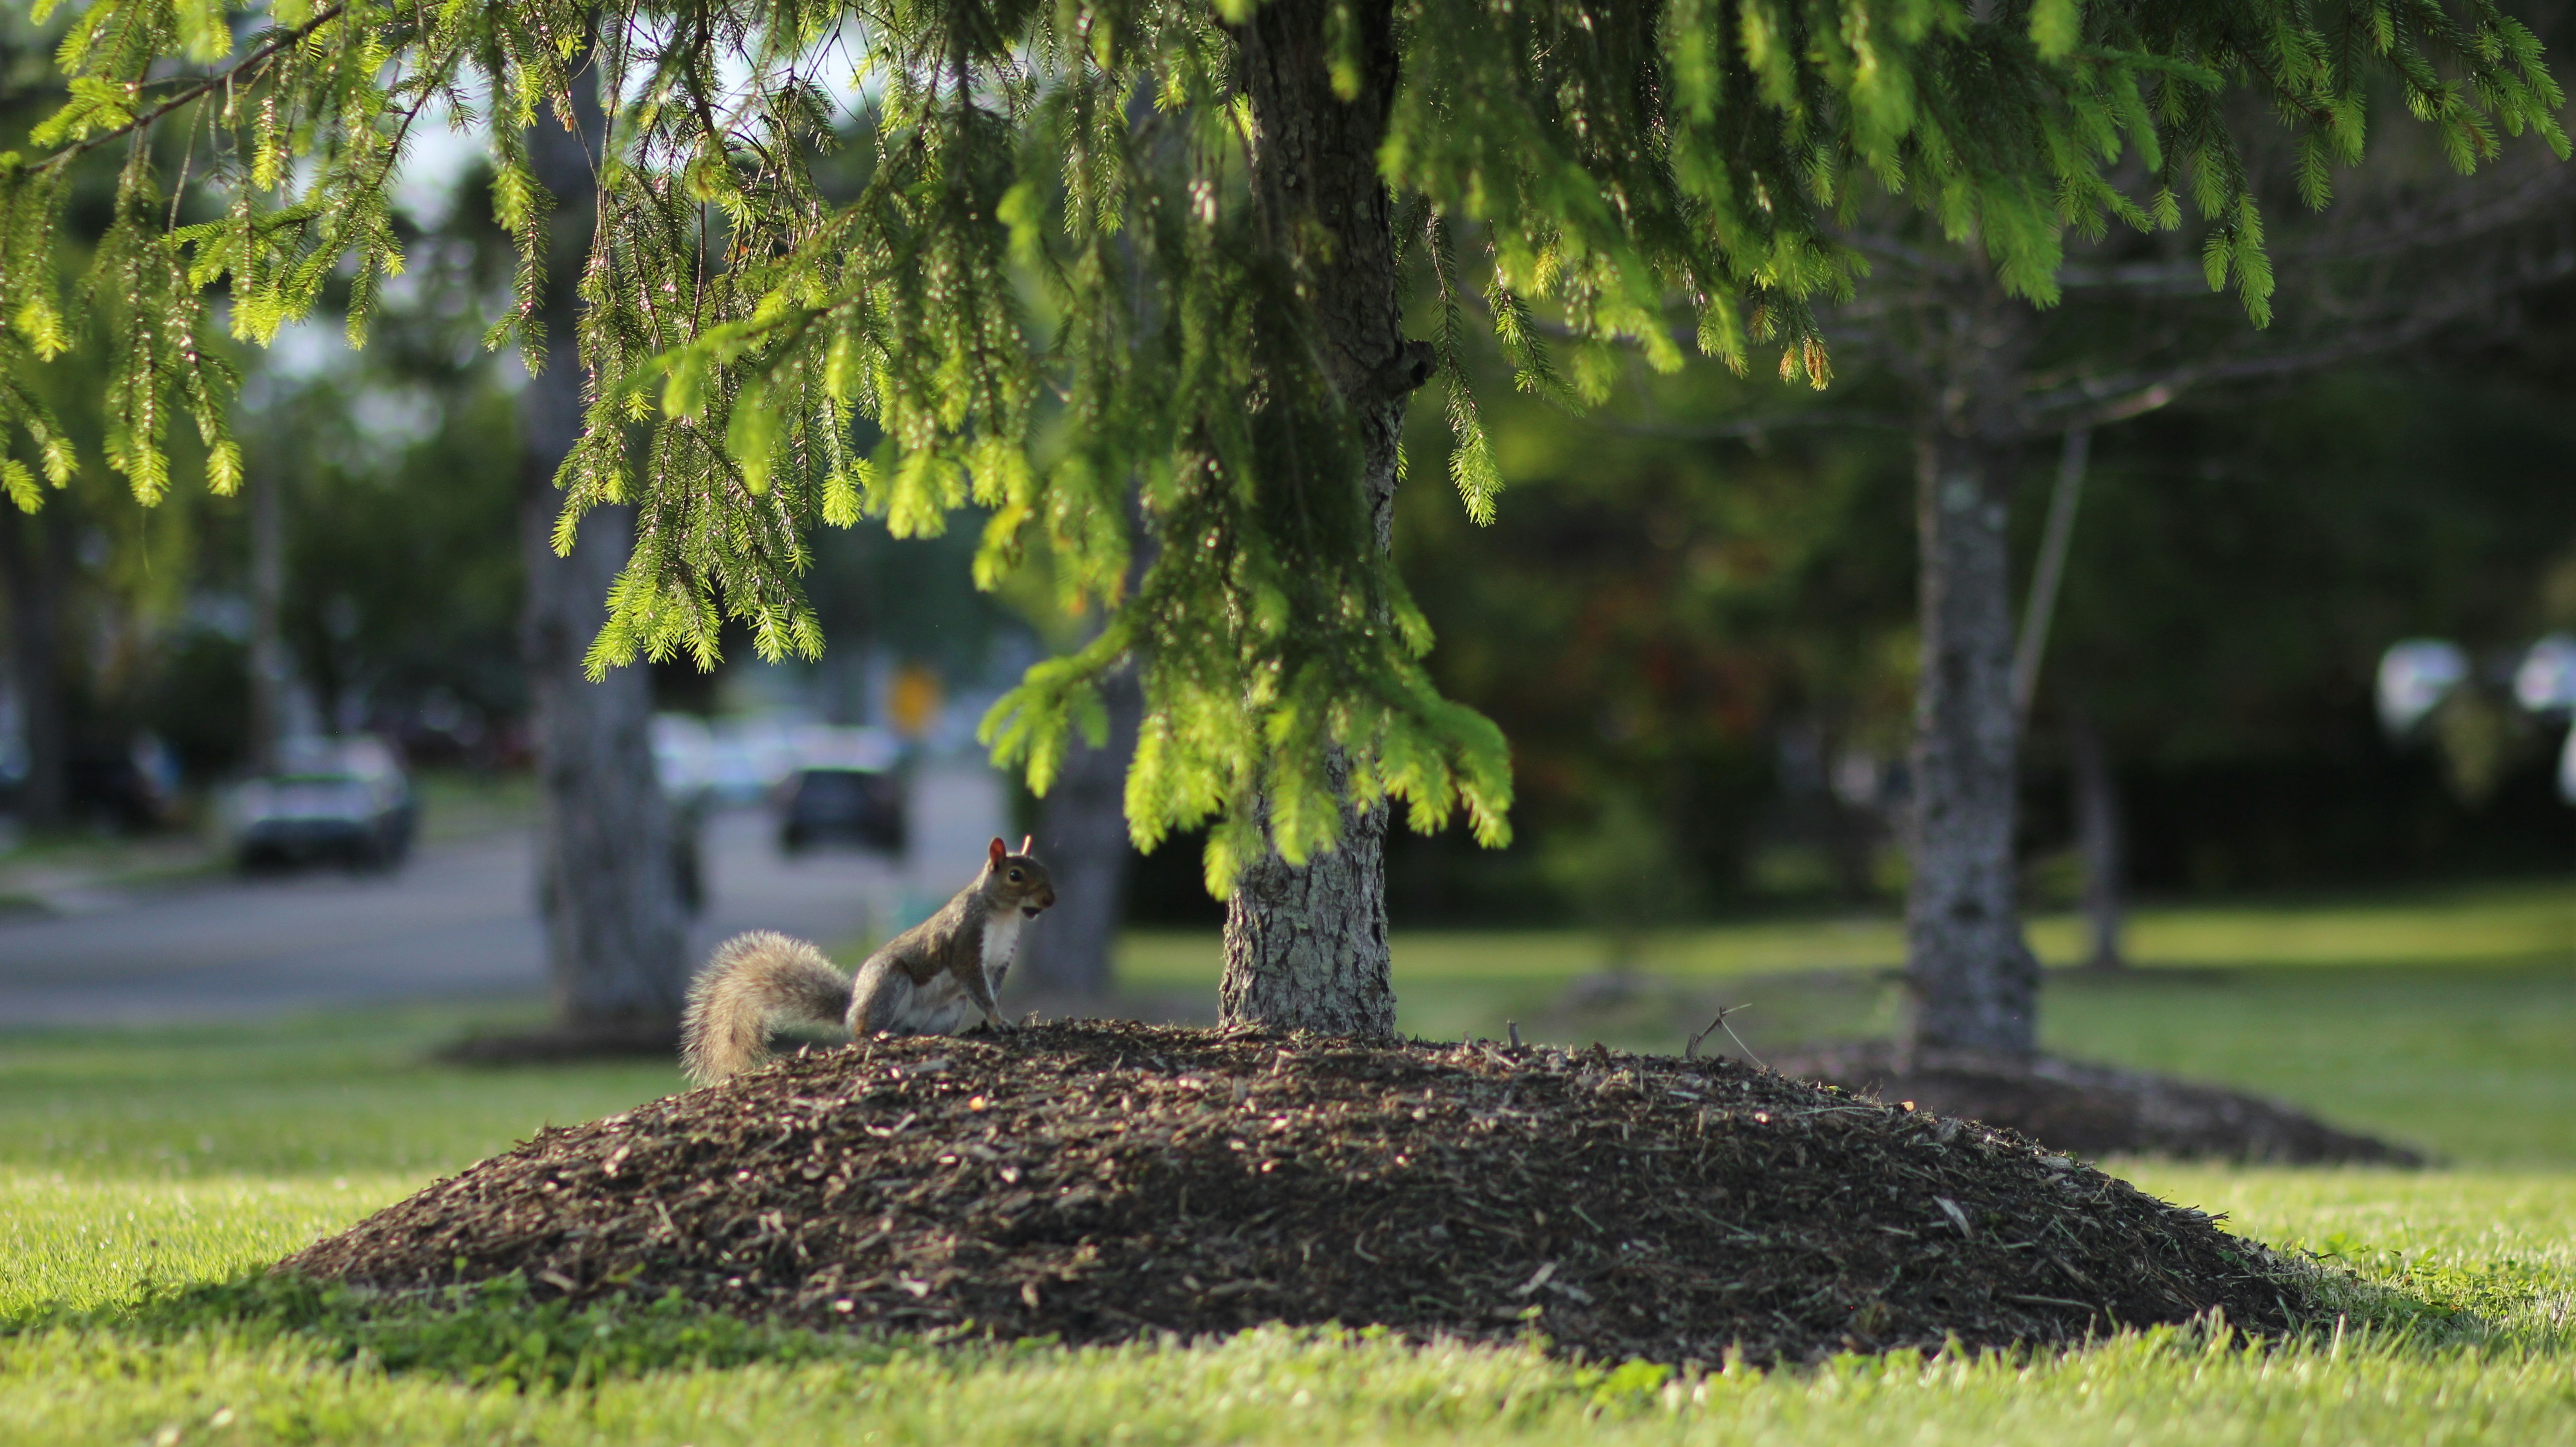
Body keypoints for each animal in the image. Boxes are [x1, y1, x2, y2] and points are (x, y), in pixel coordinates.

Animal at [679, 835, 1057, 1085]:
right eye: (1015, 875)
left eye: (1043, 867)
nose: (1050, 900)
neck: (1004, 916)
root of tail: (852, 1008)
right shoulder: (965, 946)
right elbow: (979, 987)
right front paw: (998, 1020)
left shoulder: (999, 961)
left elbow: (992, 990)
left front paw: (999, 1020)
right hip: (890, 982)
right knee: (862, 1032)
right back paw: (876, 1035)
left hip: (949, 1010)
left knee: (912, 1030)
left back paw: (913, 1038)